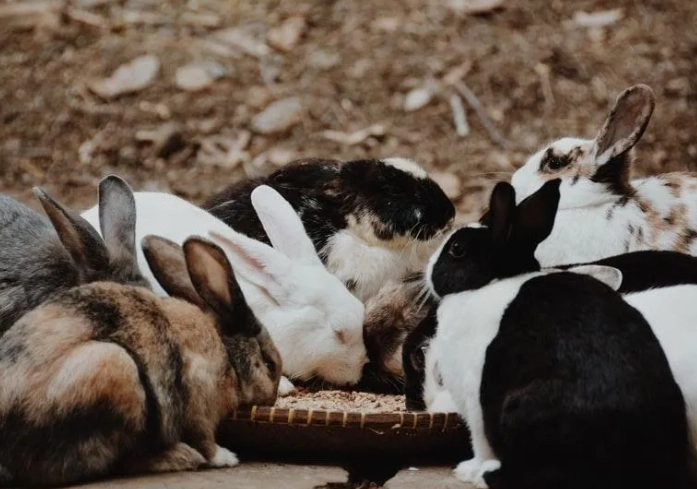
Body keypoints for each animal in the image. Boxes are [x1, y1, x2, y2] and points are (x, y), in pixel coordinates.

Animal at [0, 234, 281, 487]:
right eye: (270, 364)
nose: (272, 398)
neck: (226, 353)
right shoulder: (199, 400)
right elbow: (205, 438)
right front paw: (226, 457)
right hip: (117, 370)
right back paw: (182, 457)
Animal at [424, 179, 692, 489]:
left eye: (457, 249)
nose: (427, 269)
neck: (490, 282)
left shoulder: (474, 397)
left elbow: (480, 442)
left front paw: (468, 469)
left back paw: (483, 474)